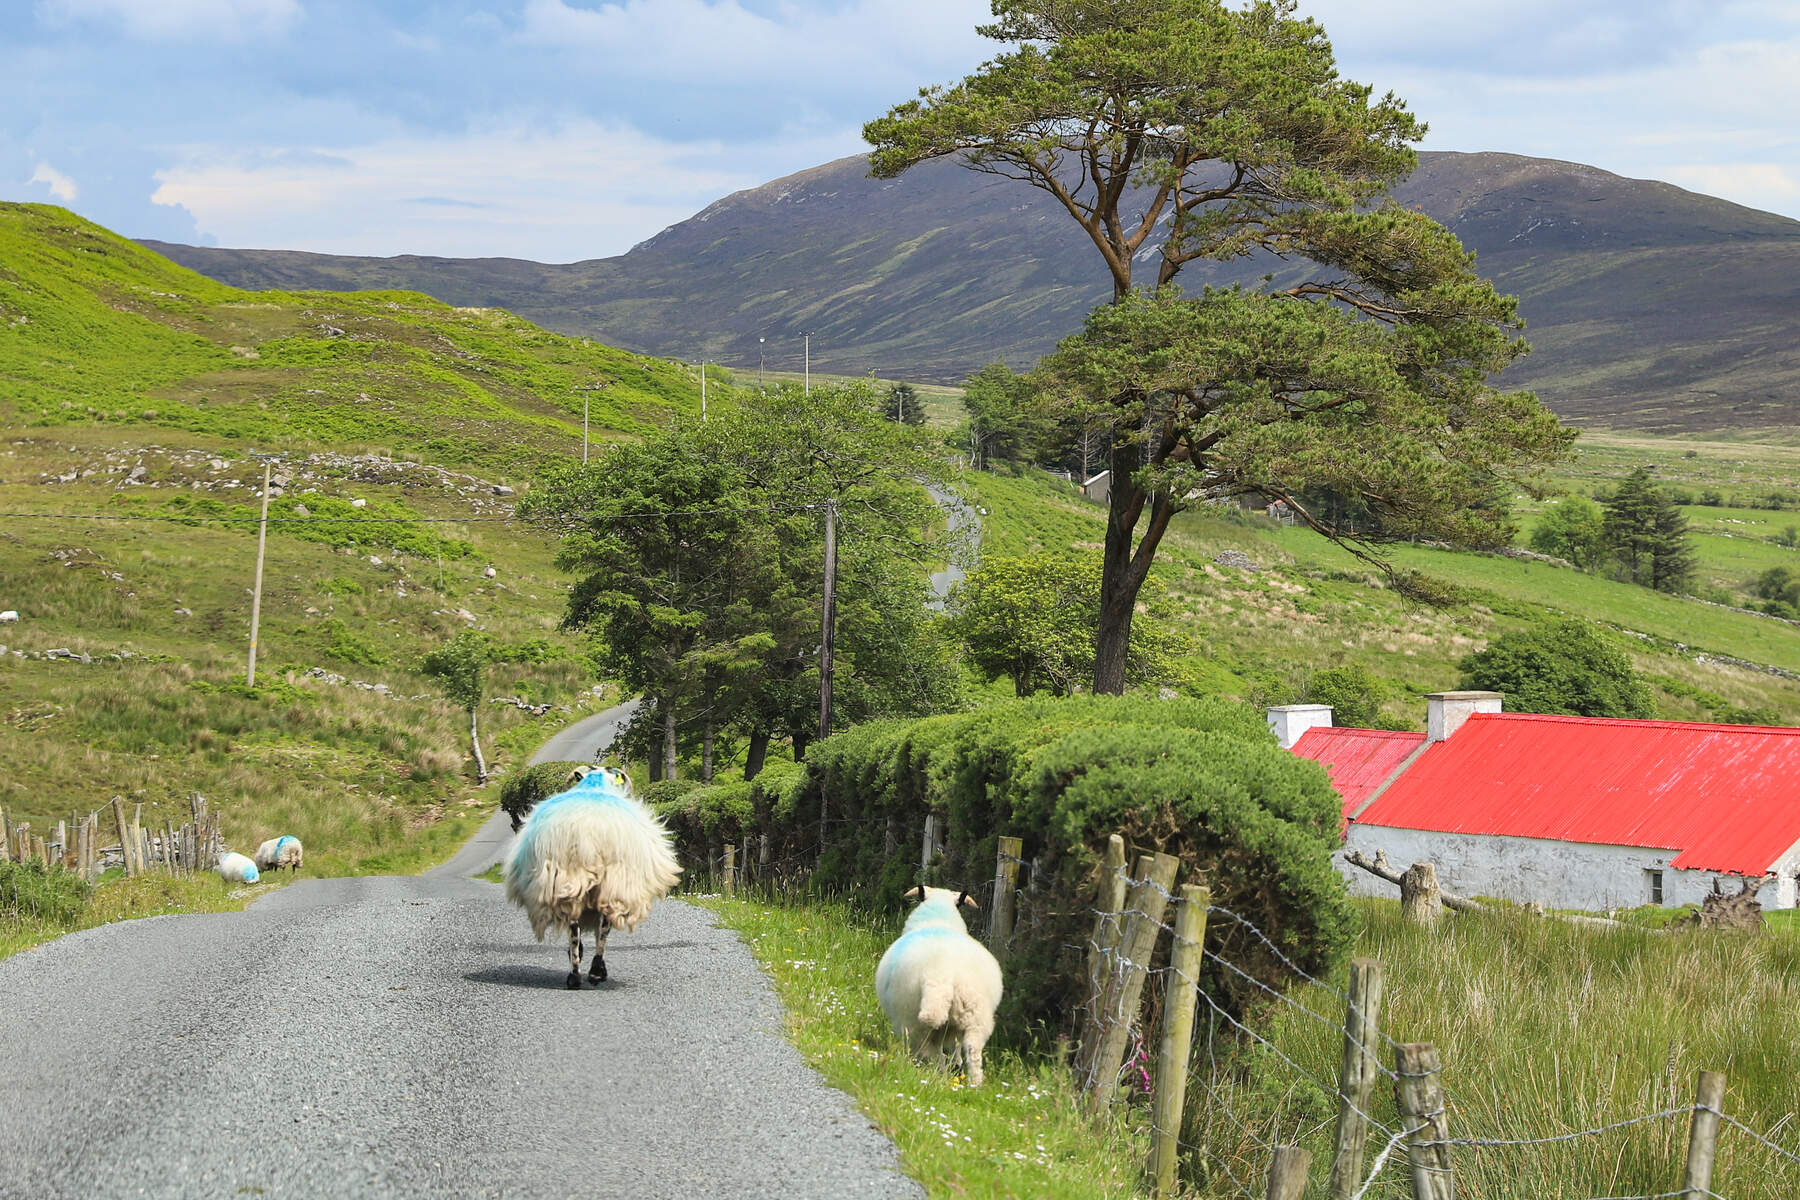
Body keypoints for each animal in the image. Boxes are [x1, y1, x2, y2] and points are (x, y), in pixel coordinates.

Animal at [500, 766, 680, 993]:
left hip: (569, 881)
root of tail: (587, 836)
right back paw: (594, 972)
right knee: (600, 930)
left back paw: (575, 975)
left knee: (575, 929)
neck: (595, 783)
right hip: (612, 885)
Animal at [878, 881, 1008, 1086]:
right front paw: (957, 1063)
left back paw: (934, 1073)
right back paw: (973, 1084)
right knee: (971, 1051)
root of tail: (939, 976)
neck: (938, 919)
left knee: (932, 1054)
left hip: (913, 1023)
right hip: (975, 1017)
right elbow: (956, 1047)